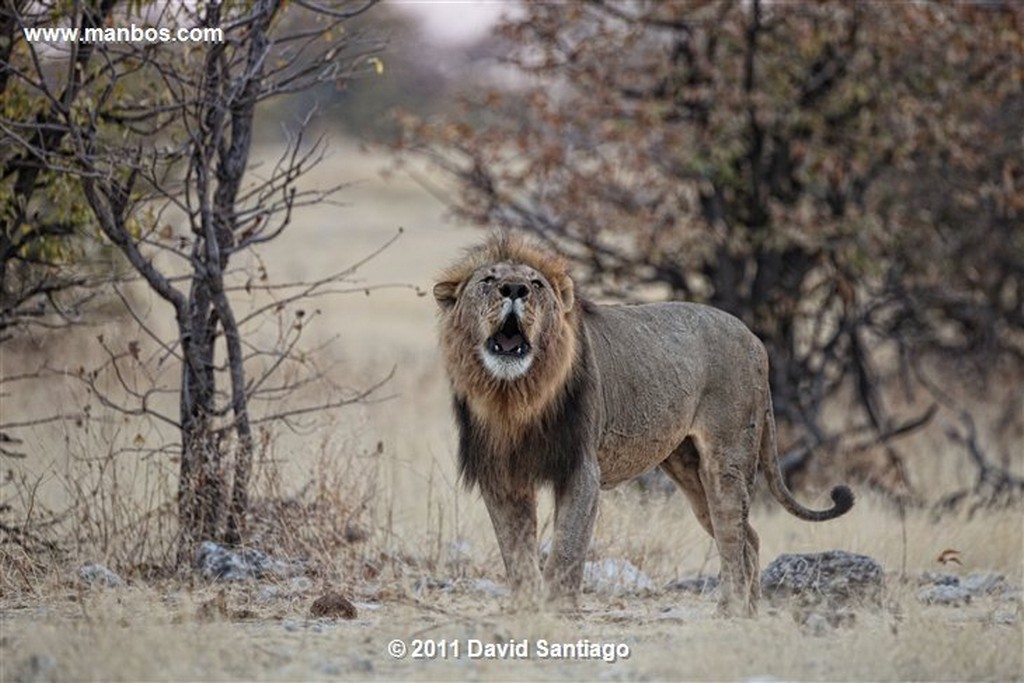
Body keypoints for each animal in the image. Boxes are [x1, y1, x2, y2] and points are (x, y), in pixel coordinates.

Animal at [428, 232, 851, 618]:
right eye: (488, 280)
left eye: (535, 284)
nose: (514, 289)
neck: (515, 397)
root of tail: (754, 337)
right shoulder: (502, 476)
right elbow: (515, 552)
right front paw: (526, 607)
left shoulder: (581, 469)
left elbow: (567, 546)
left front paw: (557, 609)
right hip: (687, 467)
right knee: (749, 536)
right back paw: (750, 612)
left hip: (726, 460)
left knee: (732, 533)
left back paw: (730, 611)